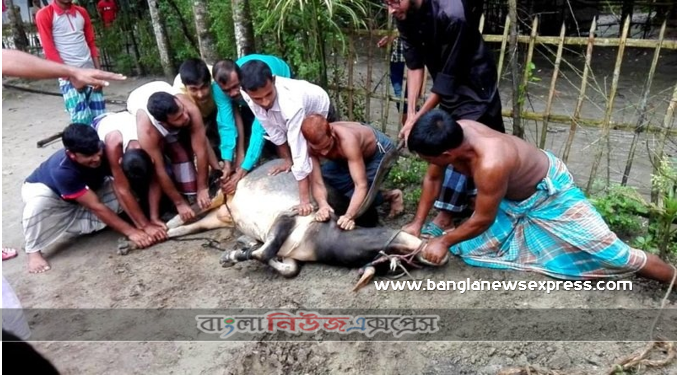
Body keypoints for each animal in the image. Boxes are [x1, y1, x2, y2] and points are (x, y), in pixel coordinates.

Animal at [117, 159, 444, 290]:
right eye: (402, 258)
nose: (435, 255)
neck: (320, 236)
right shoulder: (287, 218)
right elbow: (262, 252)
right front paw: (235, 252)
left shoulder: (290, 253)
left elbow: (284, 267)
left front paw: (239, 248)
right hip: (216, 195)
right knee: (179, 217)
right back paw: (138, 238)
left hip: (219, 216)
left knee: (183, 229)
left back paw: (135, 243)